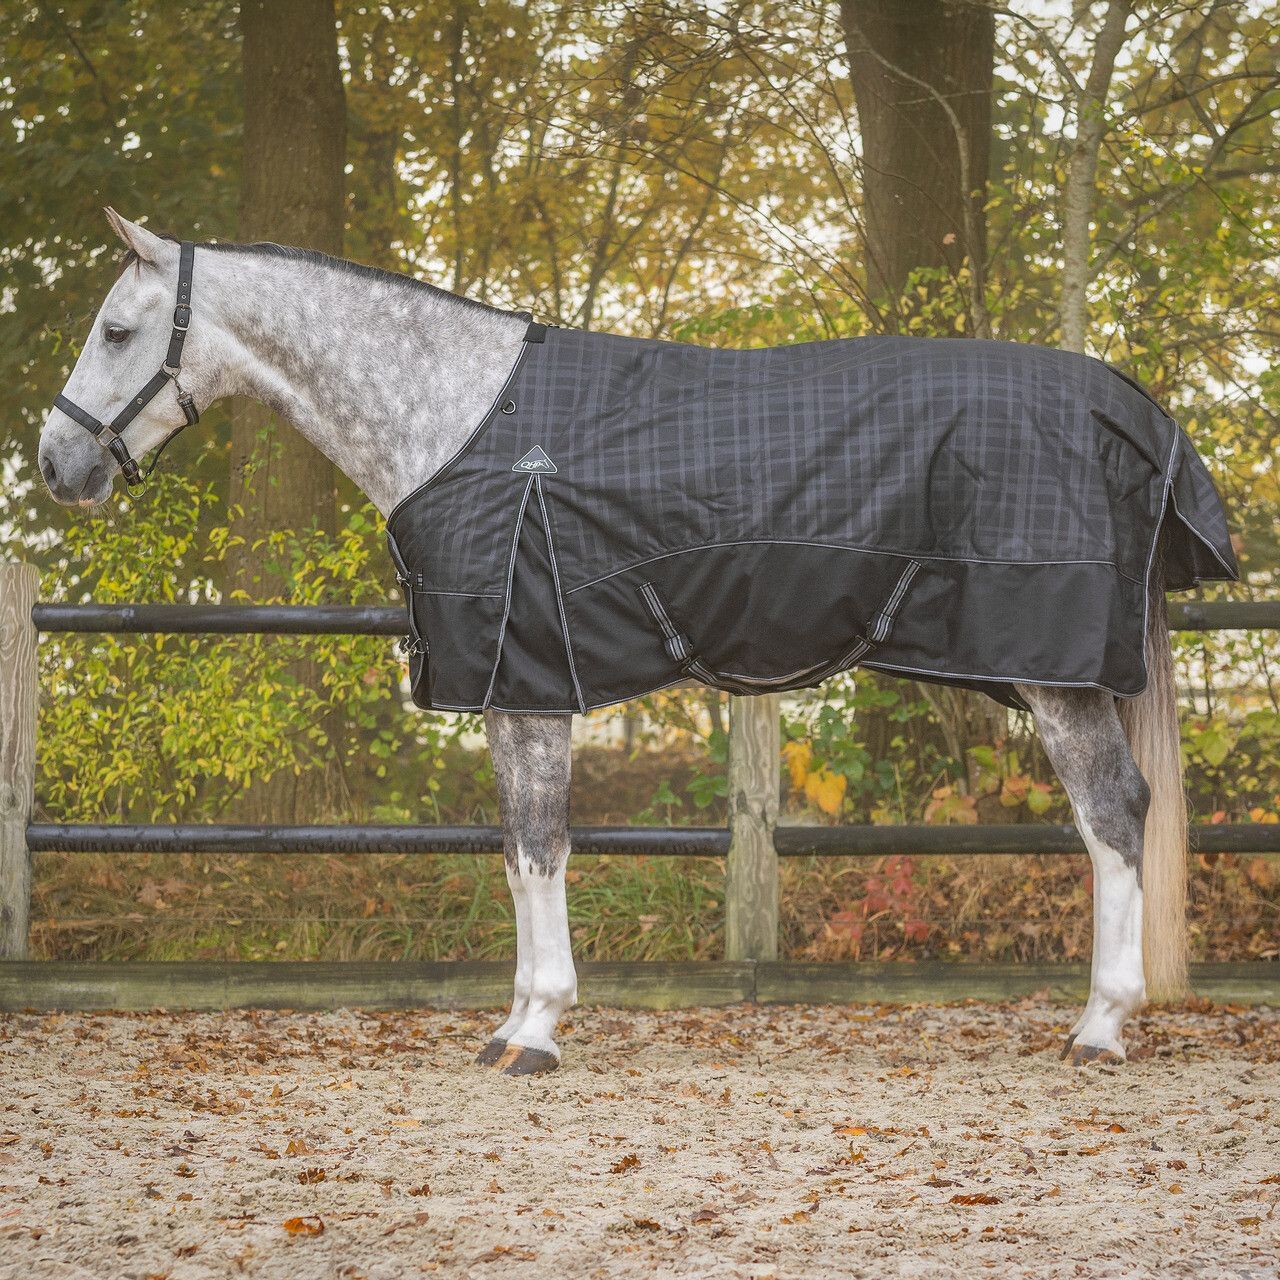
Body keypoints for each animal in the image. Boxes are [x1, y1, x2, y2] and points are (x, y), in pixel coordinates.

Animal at [38, 209, 1230, 1075]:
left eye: (115, 331)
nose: (56, 464)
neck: (460, 416)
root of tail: (1132, 407)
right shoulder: (507, 690)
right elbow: (516, 849)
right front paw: (512, 1023)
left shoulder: (530, 677)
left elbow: (541, 845)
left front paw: (537, 1031)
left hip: (1054, 674)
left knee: (1112, 814)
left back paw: (1099, 1026)